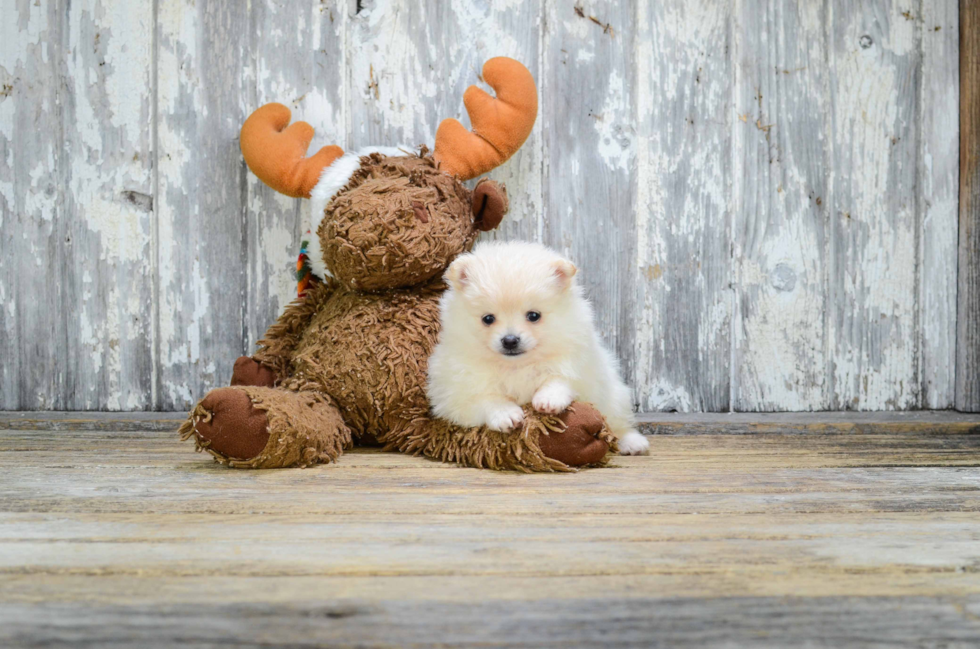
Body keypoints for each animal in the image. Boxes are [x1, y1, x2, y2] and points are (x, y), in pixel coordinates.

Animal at [428, 239, 652, 456]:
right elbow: (487, 398)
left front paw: (549, 398)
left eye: (533, 316)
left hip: (614, 397)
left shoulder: (578, 363)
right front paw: (505, 413)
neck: (515, 366)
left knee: (617, 423)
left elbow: (559, 378)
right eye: (488, 319)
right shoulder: (456, 395)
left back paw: (632, 442)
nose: (510, 340)